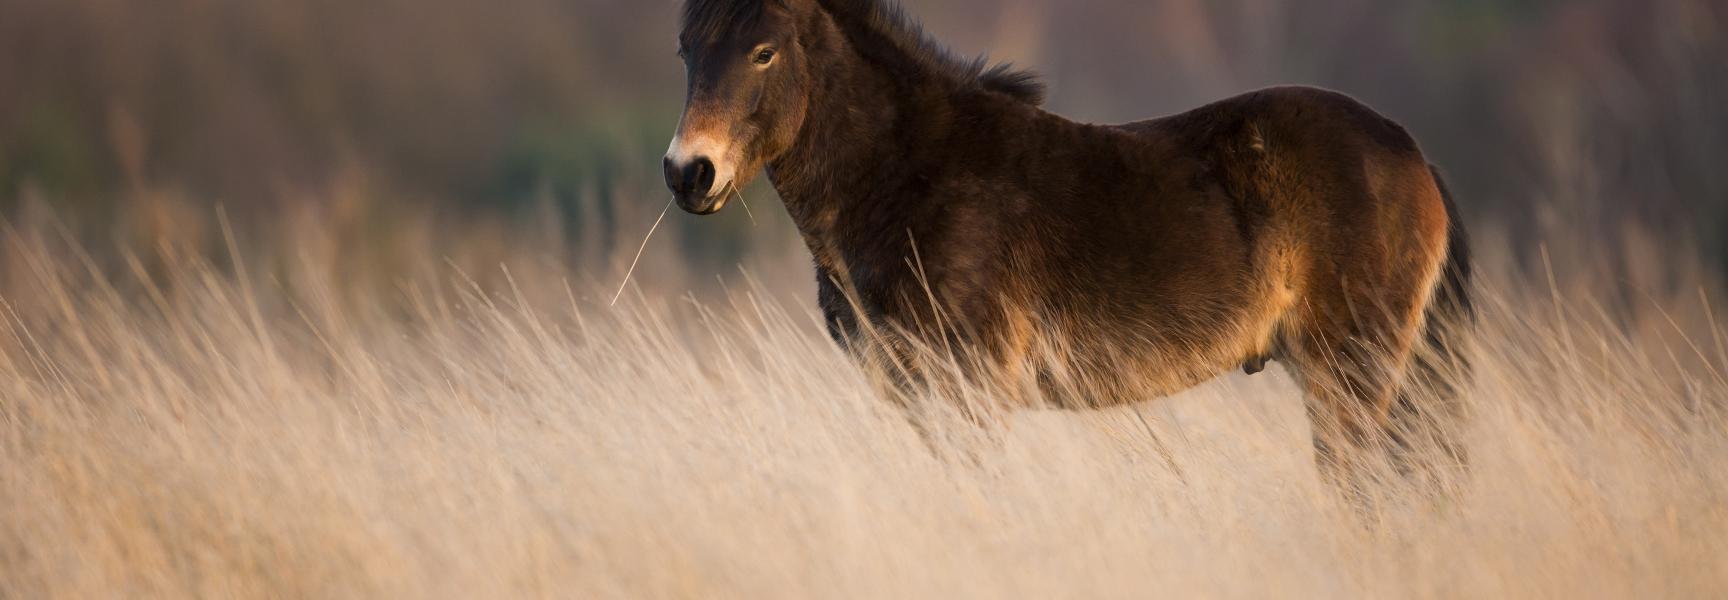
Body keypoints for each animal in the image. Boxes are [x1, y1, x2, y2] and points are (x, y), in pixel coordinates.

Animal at [662, 0, 1475, 491]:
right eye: (685, 49)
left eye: (763, 52)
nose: (688, 172)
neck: (909, 171)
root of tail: (1412, 153)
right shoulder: (915, 391)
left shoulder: (971, 384)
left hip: (1352, 372)